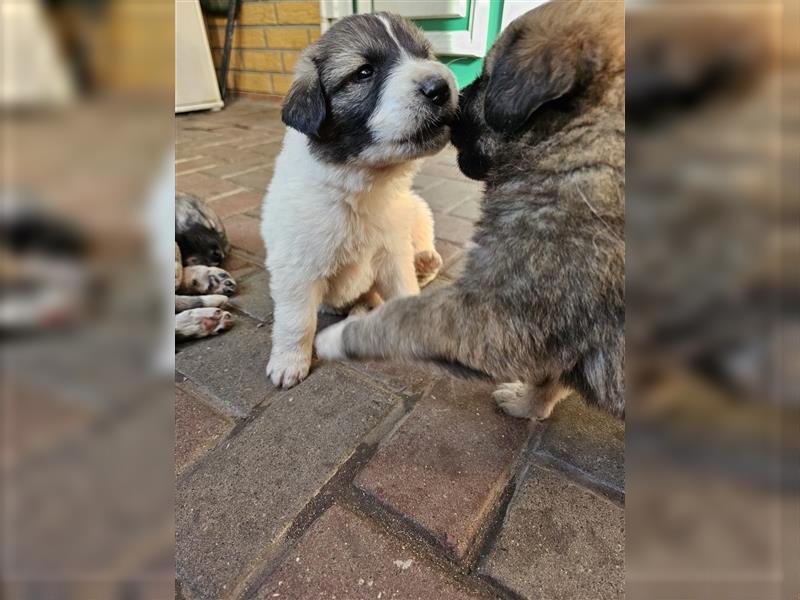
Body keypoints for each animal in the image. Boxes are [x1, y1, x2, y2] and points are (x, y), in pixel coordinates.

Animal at [264, 15, 456, 390]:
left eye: (425, 54)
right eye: (364, 73)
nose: (440, 87)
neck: (361, 185)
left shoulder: (393, 254)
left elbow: (404, 289)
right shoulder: (296, 269)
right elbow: (296, 321)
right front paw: (289, 362)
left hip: (416, 210)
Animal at [316, 1, 628, 422]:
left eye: (486, 79)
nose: (450, 98)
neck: (581, 139)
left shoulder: (496, 317)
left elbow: (402, 319)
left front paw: (337, 338)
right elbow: (551, 376)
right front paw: (529, 403)